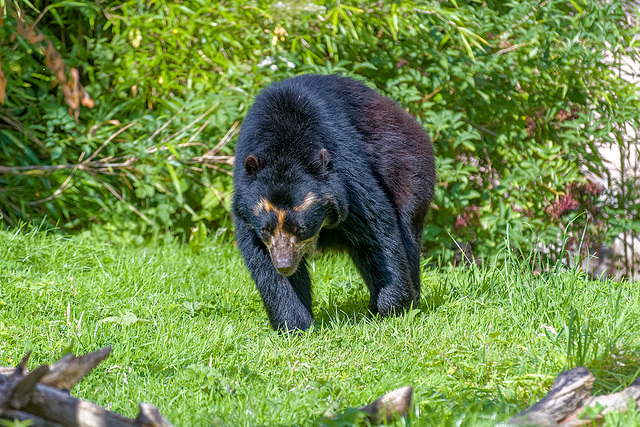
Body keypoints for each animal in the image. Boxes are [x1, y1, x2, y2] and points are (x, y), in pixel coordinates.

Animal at [232, 74, 438, 334]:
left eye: (301, 228)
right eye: (266, 230)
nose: (284, 264)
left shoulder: (347, 177)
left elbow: (377, 231)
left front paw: (393, 308)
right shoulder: (245, 208)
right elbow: (264, 266)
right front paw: (294, 325)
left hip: (408, 169)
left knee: (407, 233)